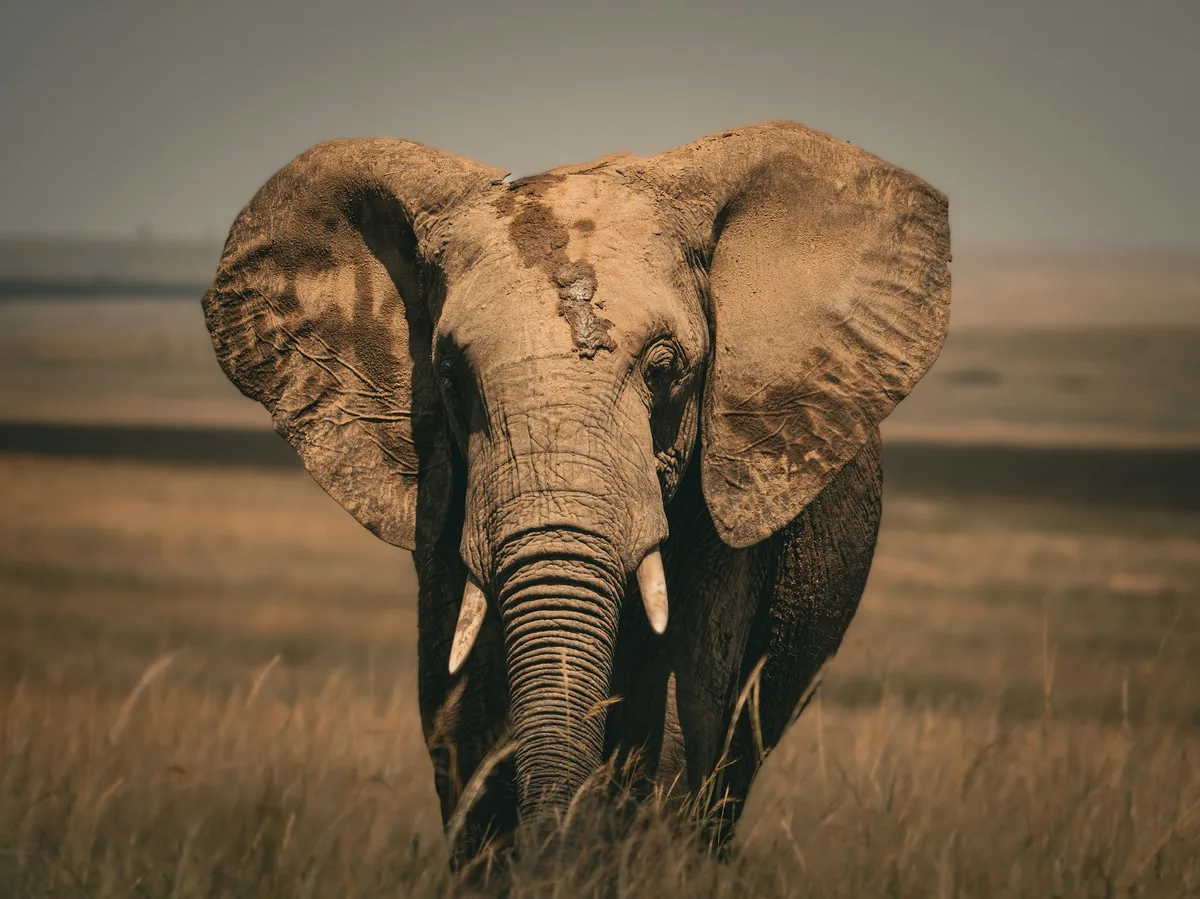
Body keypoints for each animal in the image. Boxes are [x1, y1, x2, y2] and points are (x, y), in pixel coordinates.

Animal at [201, 120, 950, 858]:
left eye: (664, 370)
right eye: (450, 376)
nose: (553, 841)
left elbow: (677, 720)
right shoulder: (446, 502)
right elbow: (461, 718)